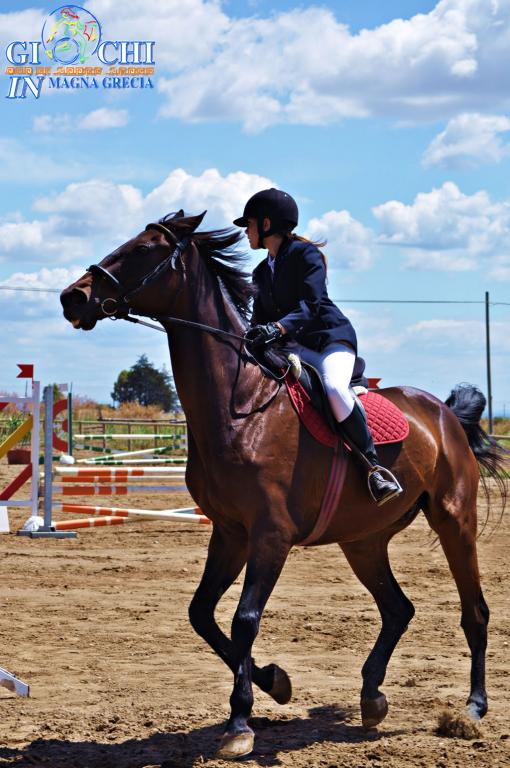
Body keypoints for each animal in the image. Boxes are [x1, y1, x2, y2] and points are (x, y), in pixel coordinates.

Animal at [59, 212, 506, 760]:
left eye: (143, 249)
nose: (73, 298)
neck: (238, 407)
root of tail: (442, 412)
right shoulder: (231, 532)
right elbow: (202, 614)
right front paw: (275, 681)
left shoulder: (270, 535)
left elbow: (244, 618)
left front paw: (239, 725)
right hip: (364, 541)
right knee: (398, 609)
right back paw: (372, 698)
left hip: (453, 520)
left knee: (474, 612)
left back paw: (472, 710)